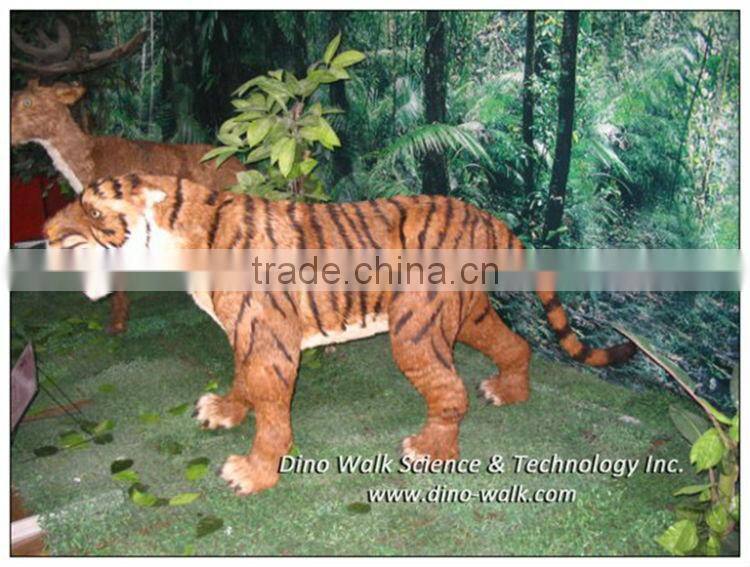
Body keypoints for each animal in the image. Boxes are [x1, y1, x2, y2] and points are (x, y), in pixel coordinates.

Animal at [43, 173, 636, 495]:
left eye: (93, 210)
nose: (45, 231)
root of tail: (486, 215)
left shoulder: (269, 339)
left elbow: (272, 412)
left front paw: (253, 472)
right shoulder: (246, 334)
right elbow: (241, 381)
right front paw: (225, 411)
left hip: (415, 329)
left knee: (449, 389)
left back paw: (430, 449)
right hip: (466, 314)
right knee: (514, 344)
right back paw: (509, 391)